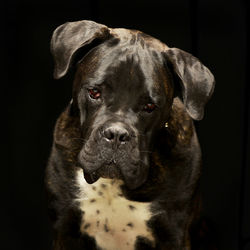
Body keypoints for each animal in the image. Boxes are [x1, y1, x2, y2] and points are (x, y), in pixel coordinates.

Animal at [46, 20, 215, 250]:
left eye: (150, 106)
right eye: (94, 92)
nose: (117, 134)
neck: (111, 185)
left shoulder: (174, 234)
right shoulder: (65, 229)